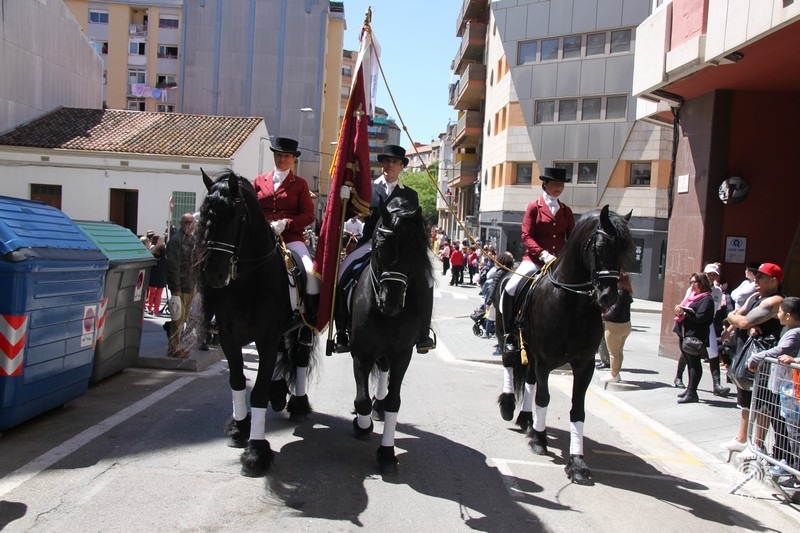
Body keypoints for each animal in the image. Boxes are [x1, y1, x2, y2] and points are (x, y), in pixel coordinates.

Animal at [194, 168, 313, 477]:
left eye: (236, 217)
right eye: (205, 215)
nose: (213, 274)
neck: (249, 279)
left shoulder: (267, 337)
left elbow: (257, 392)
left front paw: (256, 453)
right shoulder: (229, 337)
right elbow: (237, 381)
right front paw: (239, 427)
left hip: (304, 330)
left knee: (299, 361)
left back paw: (299, 404)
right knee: (282, 357)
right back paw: (279, 393)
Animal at [348, 197, 434, 473]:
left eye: (414, 251)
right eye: (379, 246)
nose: (392, 303)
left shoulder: (402, 355)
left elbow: (394, 401)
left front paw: (387, 453)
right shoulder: (361, 353)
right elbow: (361, 400)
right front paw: (363, 426)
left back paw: (380, 407)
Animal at [497, 205, 632, 485]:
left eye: (625, 250)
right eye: (600, 246)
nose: (609, 297)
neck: (571, 301)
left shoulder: (583, 365)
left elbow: (577, 410)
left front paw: (577, 463)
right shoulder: (545, 360)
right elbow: (543, 397)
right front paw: (539, 441)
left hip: (531, 353)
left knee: (528, 380)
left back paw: (526, 419)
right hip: (507, 337)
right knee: (509, 362)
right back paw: (508, 406)